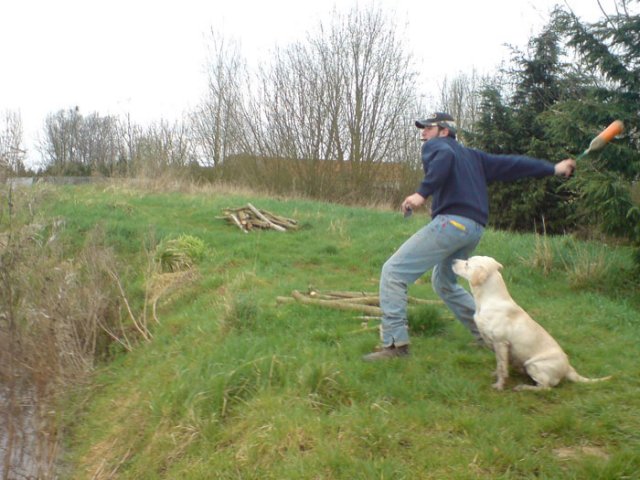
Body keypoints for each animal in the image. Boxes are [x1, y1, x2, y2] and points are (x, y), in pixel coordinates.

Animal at [450, 256, 608, 392]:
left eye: (467, 264)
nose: (452, 260)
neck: (488, 299)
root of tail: (569, 369)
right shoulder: (496, 345)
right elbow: (499, 364)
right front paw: (495, 375)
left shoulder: (501, 343)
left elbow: (502, 368)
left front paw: (499, 385)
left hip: (533, 365)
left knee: (546, 387)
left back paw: (523, 387)